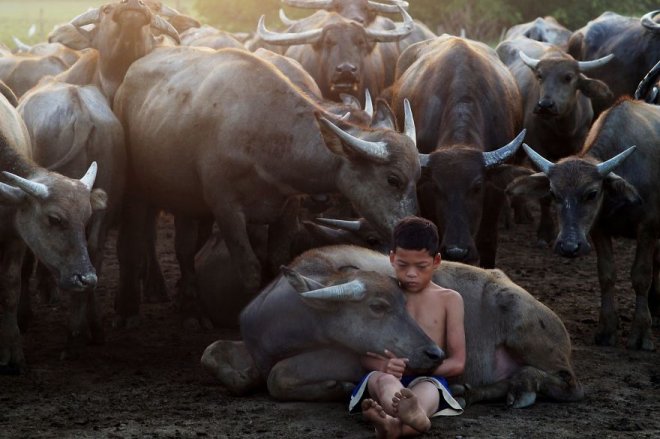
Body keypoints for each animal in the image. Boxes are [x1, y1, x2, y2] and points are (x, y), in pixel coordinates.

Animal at [0, 93, 106, 374]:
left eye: (86, 218)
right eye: (54, 219)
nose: (87, 279)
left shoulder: (14, 239)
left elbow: (9, 290)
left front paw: (12, 353)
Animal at [113, 47, 421, 326]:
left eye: (418, 174)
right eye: (393, 179)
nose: (410, 228)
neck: (264, 133)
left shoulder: (287, 208)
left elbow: (276, 264)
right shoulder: (226, 209)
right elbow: (249, 269)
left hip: (185, 199)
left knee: (184, 249)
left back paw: (190, 309)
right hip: (137, 190)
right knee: (134, 241)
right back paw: (128, 308)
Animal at [201, 245, 584, 407]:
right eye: (378, 306)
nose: (434, 353)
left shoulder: (346, 359)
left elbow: (278, 376)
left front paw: (337, 387)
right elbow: (211, 352)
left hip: (525, 327)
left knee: (569, 383)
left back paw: (523, 386)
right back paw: (472, 391)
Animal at [496, 38, 613, 244]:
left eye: (568, 77)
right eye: (540, 76)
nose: (545, 105)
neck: (562, 129)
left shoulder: (578, 145)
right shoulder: (537, 149)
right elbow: (544, 194)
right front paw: (545, 232)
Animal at [507, 98, 660, 351]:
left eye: (592, 193)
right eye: (554, 193)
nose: (569, 247)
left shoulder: (648, 227)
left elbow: (641, 276)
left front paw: (640, 333)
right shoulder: (598, 230)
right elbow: (606, 275)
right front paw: (606, 330)